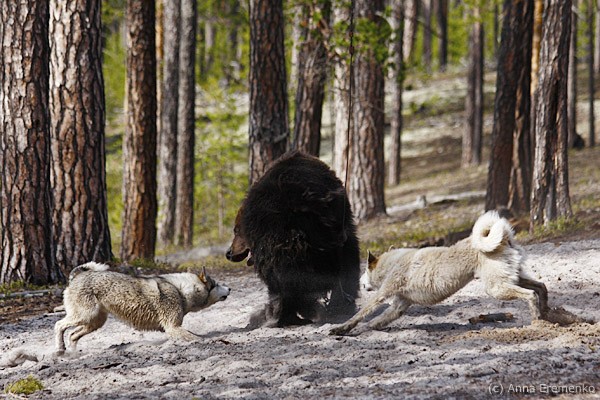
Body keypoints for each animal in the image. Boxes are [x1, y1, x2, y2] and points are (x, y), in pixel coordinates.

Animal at [55, 262, 230, 352]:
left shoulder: (172, 328)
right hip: (85, 316)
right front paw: (211, 340)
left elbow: (194, 335)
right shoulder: (172, 327)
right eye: (216, 284)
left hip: (95, 322)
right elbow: (197, 338)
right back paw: (60, 349)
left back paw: (72, 353)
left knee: (72, 335)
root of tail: (78, 276)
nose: (229, 288)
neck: (180, 289)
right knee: (59, 325)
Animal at [330, 211, 549, 335]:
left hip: (496, 288)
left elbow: (361, 314)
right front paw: (367, 328)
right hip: (514, 278)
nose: (360, 281)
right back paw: (546, 311)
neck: (391, 263)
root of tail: (504, 239)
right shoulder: (399, 305)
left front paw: (342, 328)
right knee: (541, 286)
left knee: (530, 294)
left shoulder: (382, 295)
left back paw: (537, 318)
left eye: (364, 272)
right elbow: (378, 320)